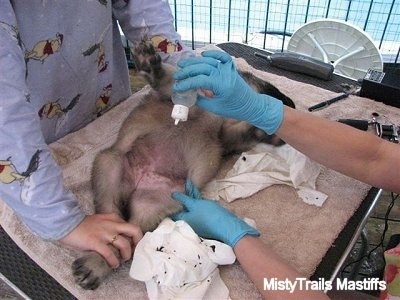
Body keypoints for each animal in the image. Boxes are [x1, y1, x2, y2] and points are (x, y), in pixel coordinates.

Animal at [72, 43, 294, 290]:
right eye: (275, 95)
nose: (287, 114)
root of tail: (139, 180)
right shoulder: (186, 96)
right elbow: (167, 81)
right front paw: (152, 66)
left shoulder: (227, 134)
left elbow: (244, 128)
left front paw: (261, 123)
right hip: (109, 165)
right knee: (111, 219)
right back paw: (96, 261)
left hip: (156, 202)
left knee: (130, 234)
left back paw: (97, 264)